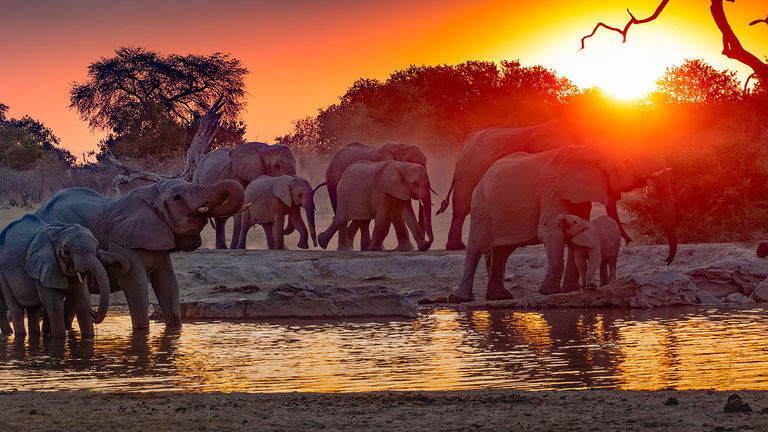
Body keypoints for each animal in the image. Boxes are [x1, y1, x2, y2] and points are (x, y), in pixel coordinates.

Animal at [0, 214, 129, 340]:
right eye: (66, 252)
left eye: (97, 247)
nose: (93, 312)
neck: (60, 230)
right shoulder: (46, 267)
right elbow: (55, 307)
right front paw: (59, 338)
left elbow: (83, 301)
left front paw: (89, 336)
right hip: (3, 275)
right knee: (16, 309)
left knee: (33, 310)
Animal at [34, 177, 244, 330]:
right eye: (177, 197)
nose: (102, 252)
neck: (149, 192)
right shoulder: (124, 242)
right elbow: (137, 285)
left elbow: (168, 284)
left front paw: (174, 331)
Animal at [452, 143, 676, 302]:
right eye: (627, 162)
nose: (665, 261)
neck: (589, 149)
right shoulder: (553, 188)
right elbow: (551, 230)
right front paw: (549, 292)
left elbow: (576, 230)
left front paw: (572, 289)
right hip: (482, 205)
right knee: (476, 247)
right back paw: (461, 299)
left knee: (503, 251)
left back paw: (499, 297)